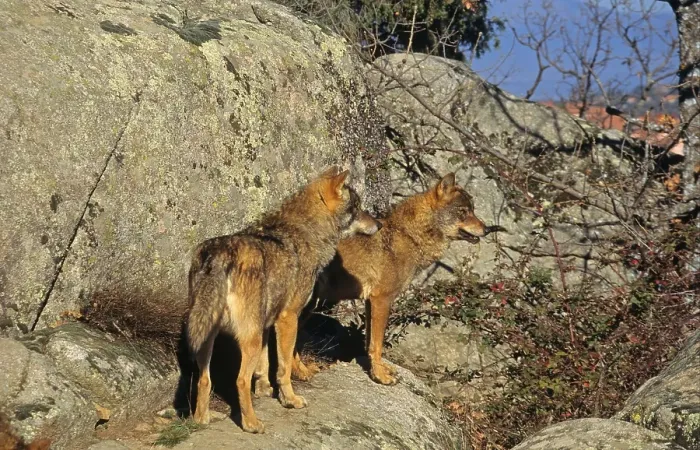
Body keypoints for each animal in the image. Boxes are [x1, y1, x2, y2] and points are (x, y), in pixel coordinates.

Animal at [186, 167, 381, 433]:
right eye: (357, 207)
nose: (380, 224)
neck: (305, 231)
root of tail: (218, 254)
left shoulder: (267, 323)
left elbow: (264, 367)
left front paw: (265, 390)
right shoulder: (288, 319)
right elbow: (284, 367)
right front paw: (290, 399)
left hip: (208, 336)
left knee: (204, 379)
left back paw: (202, 419)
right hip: (248, 338)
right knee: (240, 380)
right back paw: (251, 423)